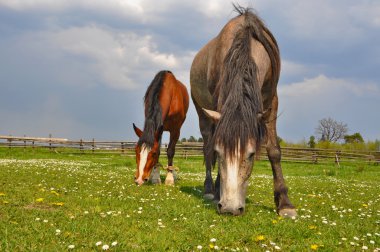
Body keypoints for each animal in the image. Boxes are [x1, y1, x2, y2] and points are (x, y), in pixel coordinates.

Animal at [190, 5, 296, 217]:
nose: (230, 208)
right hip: (201, 112)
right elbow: (213, 149)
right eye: (220, 152)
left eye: (251, 154)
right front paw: (217, 190)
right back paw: (209, 189)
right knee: (206, 146)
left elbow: (274, 151)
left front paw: (284, 203)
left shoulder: (271, 101)